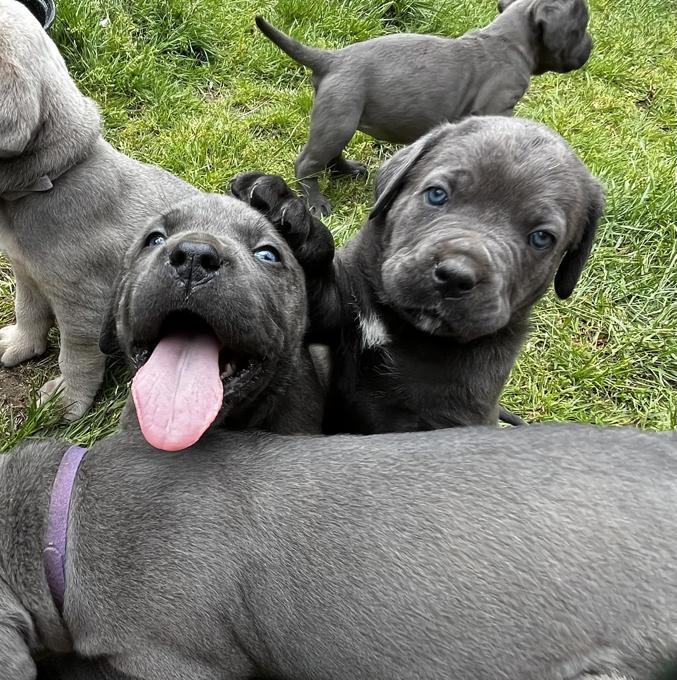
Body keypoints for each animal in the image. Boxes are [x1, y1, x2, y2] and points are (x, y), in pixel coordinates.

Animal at [0, 0, 198, 420]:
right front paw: (21, 344)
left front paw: (67, 401)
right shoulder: (27, 273)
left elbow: (76, 358)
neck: (52, 176)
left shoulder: (84, 308)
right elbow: (28, 310)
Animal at [231, 116, 604, 432]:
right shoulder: (338, 309)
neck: (404, 328)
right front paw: (285, 208)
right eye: (437, 194)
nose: (455, 276)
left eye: (541, 238)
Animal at [255, 0, 592, 215]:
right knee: (307, 163)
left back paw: (348, 170)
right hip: (339, 118)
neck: (508, 40)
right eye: (580, 28)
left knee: (329, 153)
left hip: (338, 117)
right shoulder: (498, 106)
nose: (591, 45)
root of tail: (330, 59)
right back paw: (316, 202)